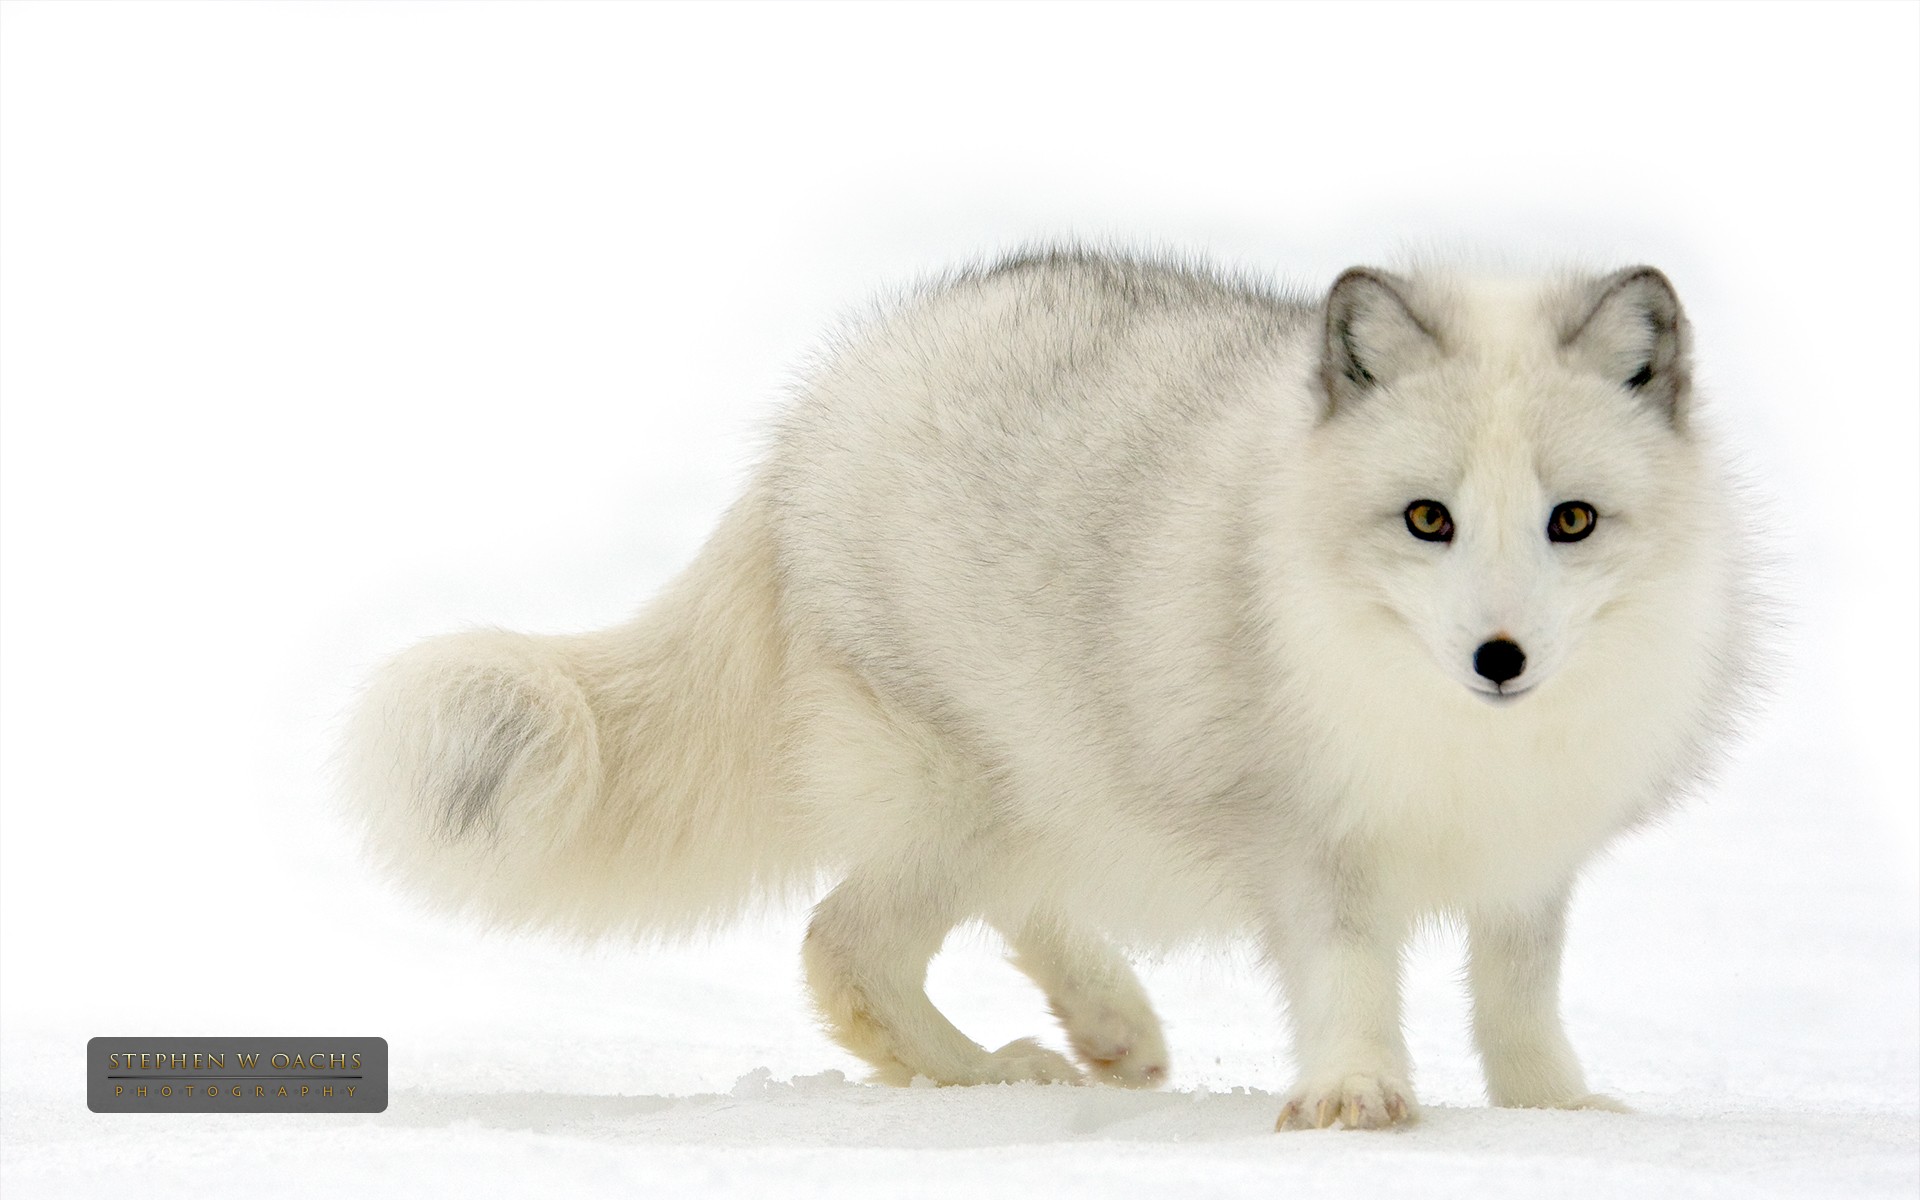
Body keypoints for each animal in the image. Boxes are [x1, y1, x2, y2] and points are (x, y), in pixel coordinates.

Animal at [342, 249, 1761, 1130]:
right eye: (1428, 518)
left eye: (1571, 519)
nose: (1499, 659)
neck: (1456, 737)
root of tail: (812, 417)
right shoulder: (1307, 839)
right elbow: (1352, 974)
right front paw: (1357, 1100)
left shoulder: (1530, 855)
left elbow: (1520, 997)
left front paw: (1557, 1113)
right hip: (966, 791)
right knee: (841, 947)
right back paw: (991, 1078)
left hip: (1044, 788)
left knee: (1006, 908)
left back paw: (1110, 1028)